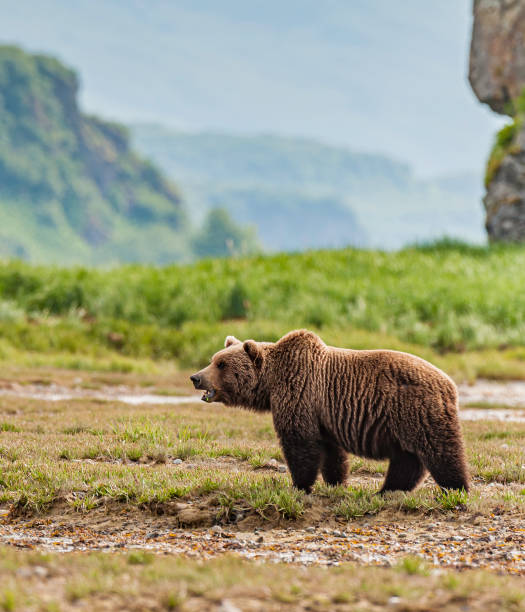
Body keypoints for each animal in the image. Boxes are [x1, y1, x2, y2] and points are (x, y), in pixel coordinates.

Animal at [190, 330, 468, 492]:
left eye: (221, 364)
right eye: (214, 359)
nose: (196, 377)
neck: (271, 382)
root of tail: (450, 384)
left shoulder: (300, 394)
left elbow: (300, 443)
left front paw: (299, 485)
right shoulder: (324, 415)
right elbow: (332, 452)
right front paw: (336, 482)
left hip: (416, 409)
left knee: (440, 450)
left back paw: (456, 488)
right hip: (402, 422)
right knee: (407, 458)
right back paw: (388, 490)